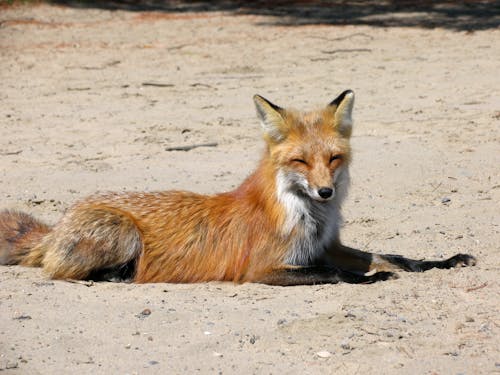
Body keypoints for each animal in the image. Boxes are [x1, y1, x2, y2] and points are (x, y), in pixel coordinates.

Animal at [0, 91, 476, 284]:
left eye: (333, 159)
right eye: (300, 161)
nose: (325, 192)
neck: (309, 217)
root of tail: (58, 225)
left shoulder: (328, 246)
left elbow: (398, 256)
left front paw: (444, 261)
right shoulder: (262, 269)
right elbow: (336, 274)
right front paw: (372, 278)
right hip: (123, 233)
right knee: (59, 272)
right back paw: (117, 275)